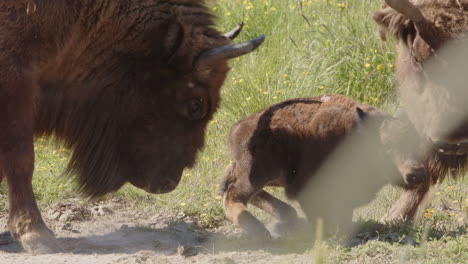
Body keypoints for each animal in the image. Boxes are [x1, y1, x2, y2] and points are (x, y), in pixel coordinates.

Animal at [221, 95, 426, 239]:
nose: (417, 173)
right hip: (257, 173)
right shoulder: (310, 191)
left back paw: (286, 218)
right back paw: (261, 231)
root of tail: (235, 128)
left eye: (415, 143)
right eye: (387, 146)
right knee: (232, 195)